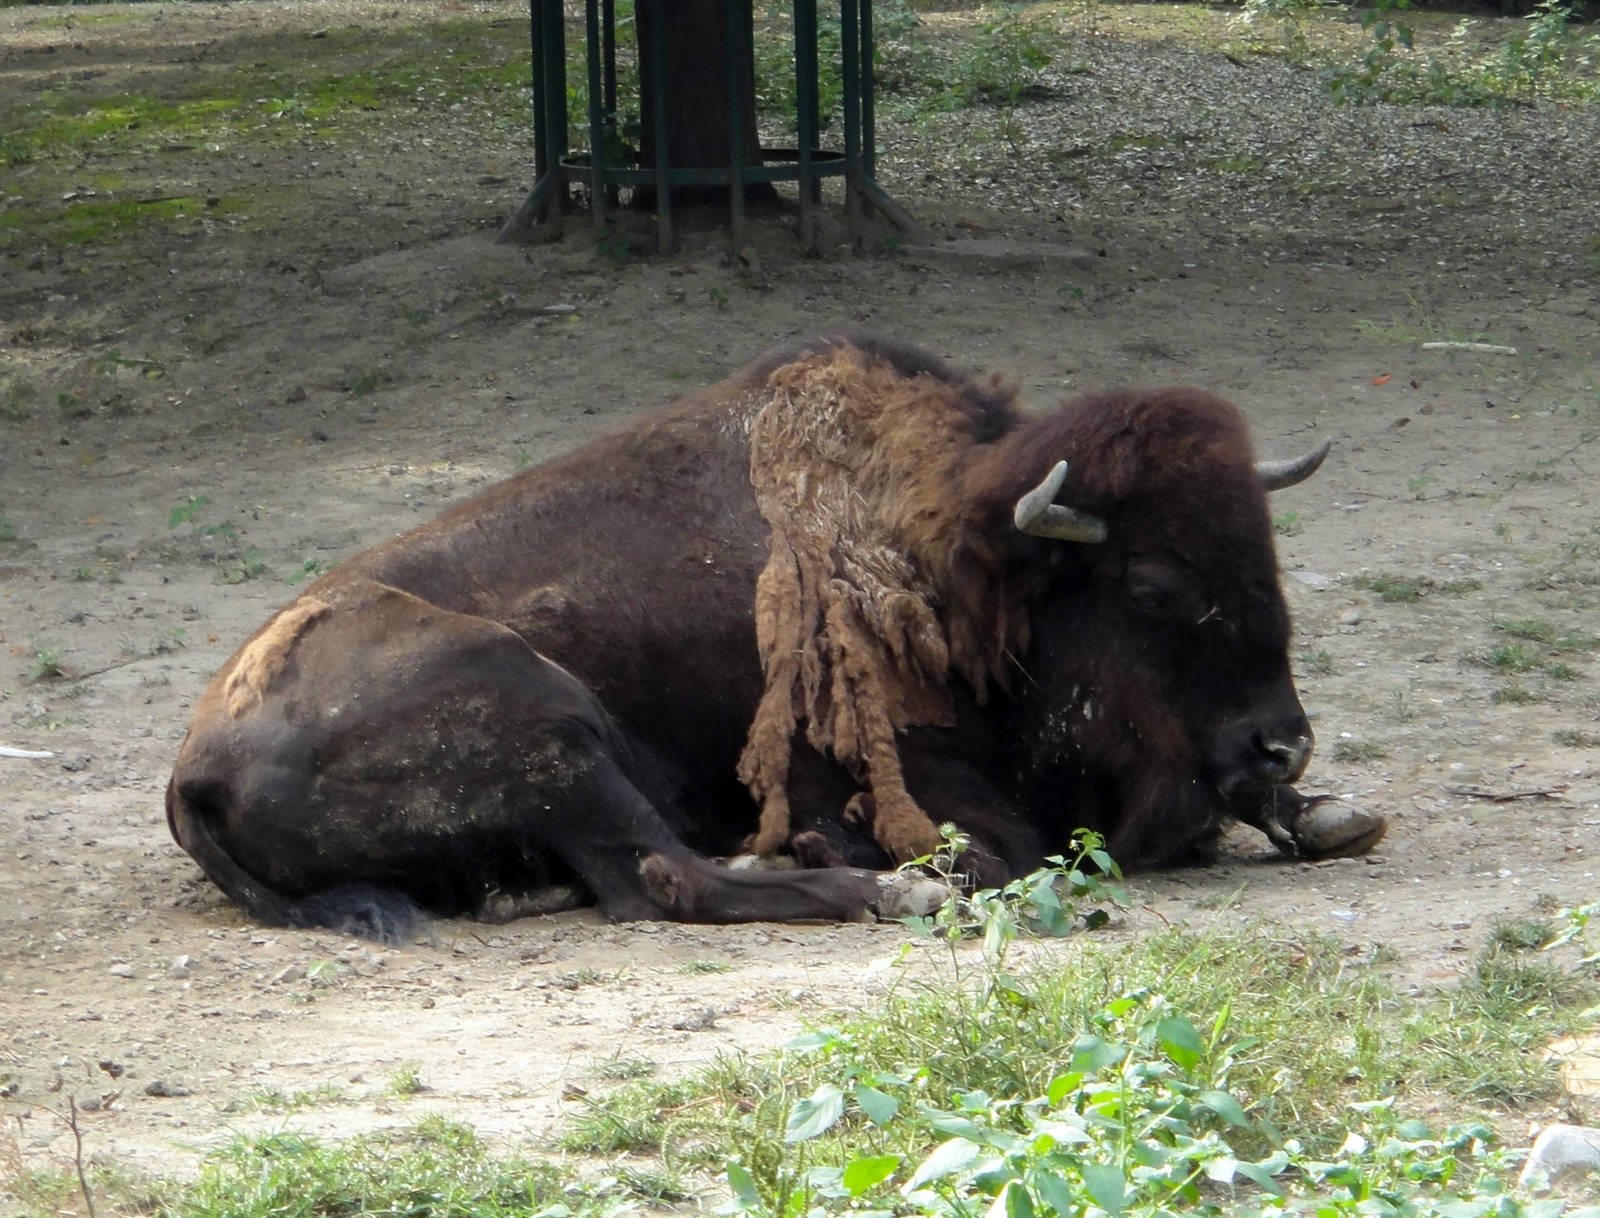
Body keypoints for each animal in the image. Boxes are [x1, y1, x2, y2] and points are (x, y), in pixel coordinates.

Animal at [167, 331, 1384, 941]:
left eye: (1263, 553)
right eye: (1154, 586)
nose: (1281, 743)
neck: (960, 557)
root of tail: (194, 766)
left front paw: (1328, 813)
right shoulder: (896, 775)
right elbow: (1017, 850)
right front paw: (886, 864)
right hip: (544, 717)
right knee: (663, 877)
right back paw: (880, 891)